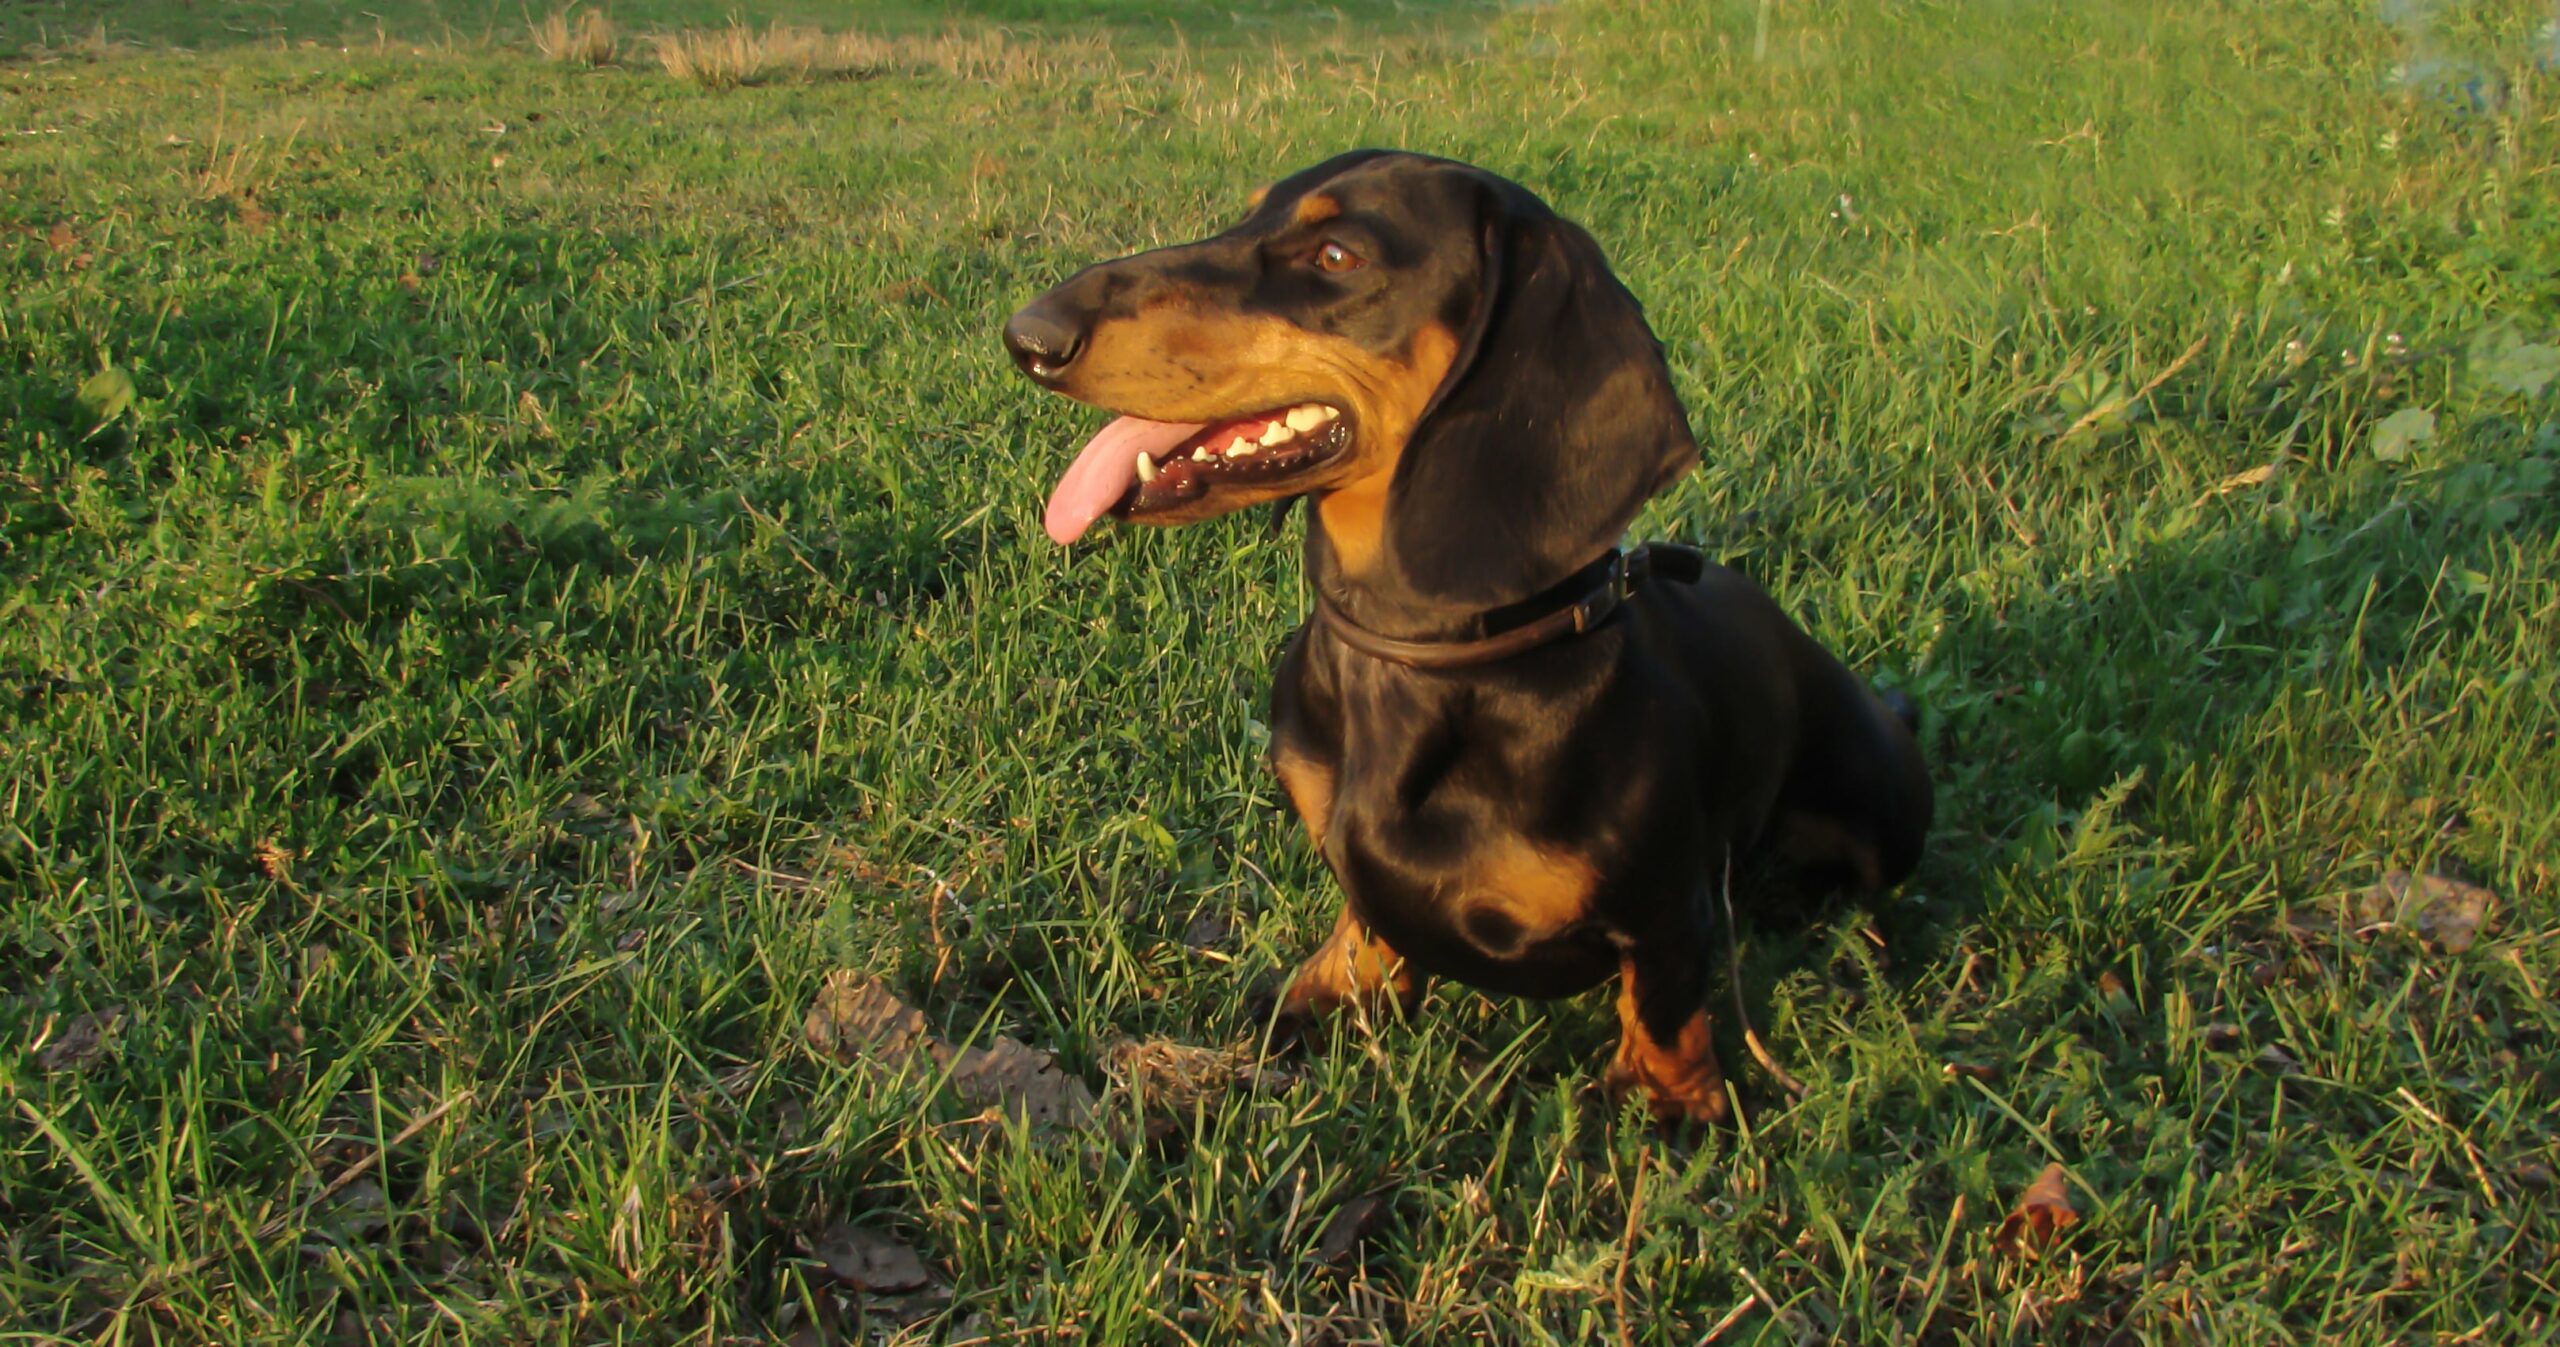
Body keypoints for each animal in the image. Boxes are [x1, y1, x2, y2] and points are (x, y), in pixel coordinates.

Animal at [998, 150, 1925, 1131]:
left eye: (1336, 255)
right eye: (1244, 217)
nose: (1029, 336)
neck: (1418, 656)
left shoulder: (1669, 907)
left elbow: (1665, 1002)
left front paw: (1667, 1106)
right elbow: (1364, 925)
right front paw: (1336, 994)